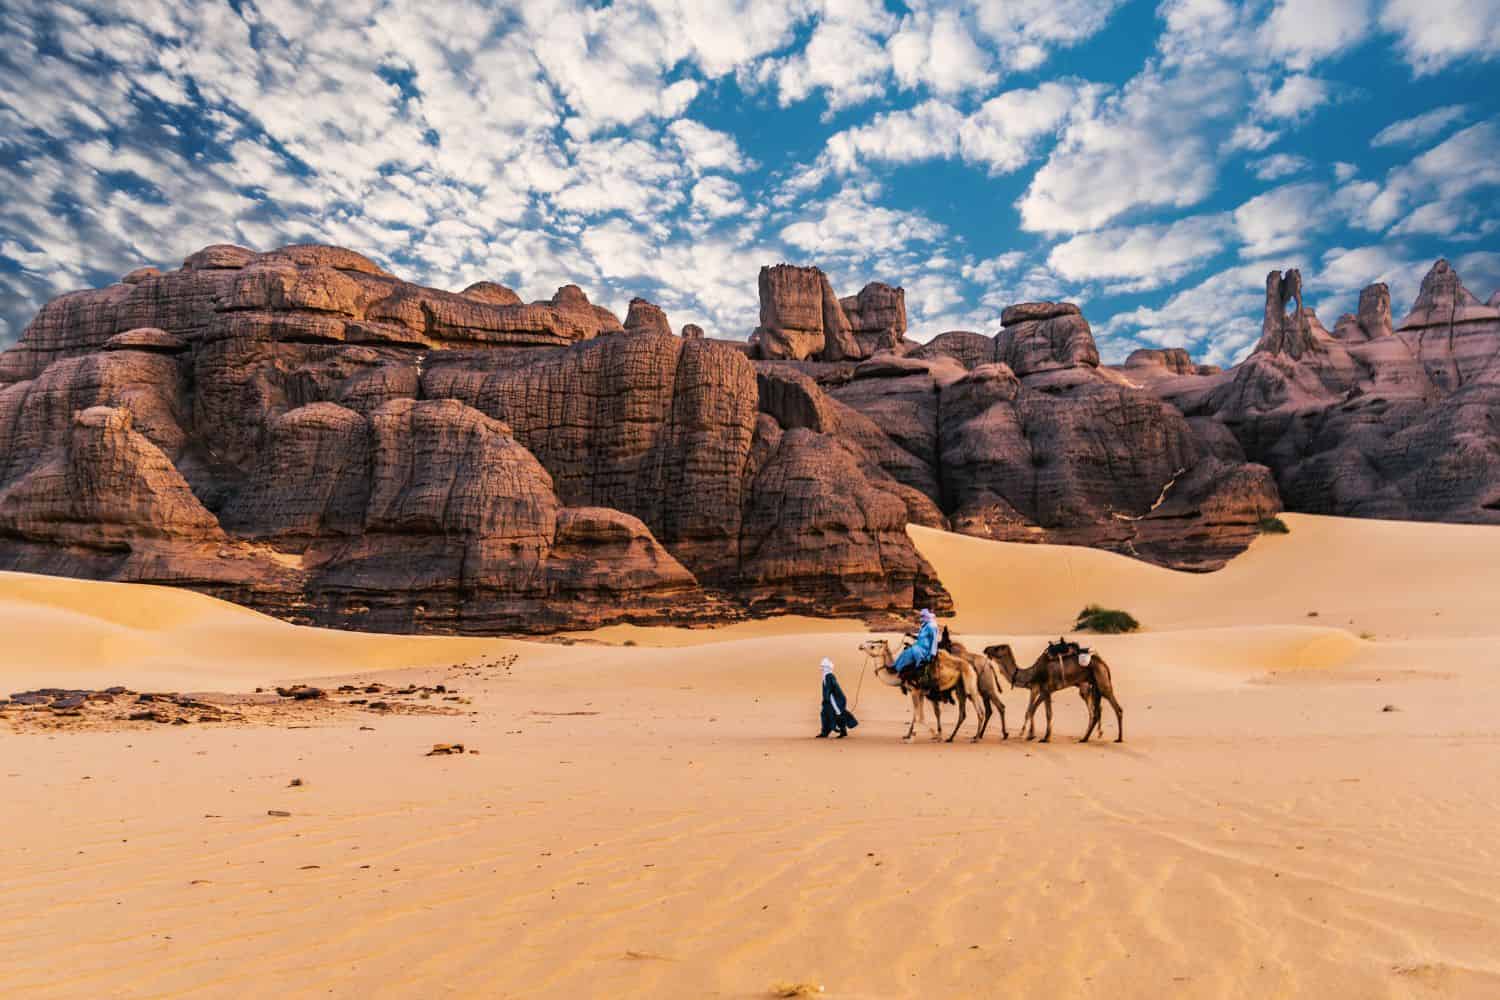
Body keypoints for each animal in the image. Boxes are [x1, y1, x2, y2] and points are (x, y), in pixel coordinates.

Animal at [984, 644, 1128, 740]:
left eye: (997, 648)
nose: (986, 649)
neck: (1032, 673)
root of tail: (1104, 663)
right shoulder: (1043, 691)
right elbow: (1033, 710)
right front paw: (1032, 735)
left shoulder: (1044, 689)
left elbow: (1043, 713)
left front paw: (1043, 737)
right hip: (1092, 686)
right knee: (1095, 711)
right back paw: (1087, 737)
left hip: (1101, 683)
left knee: (1114, 708)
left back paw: (1118, 738)